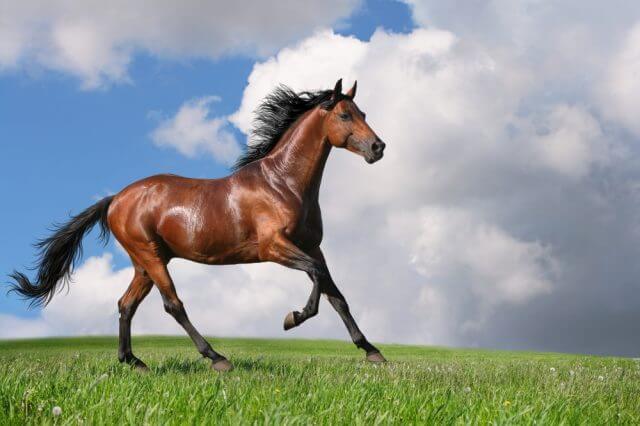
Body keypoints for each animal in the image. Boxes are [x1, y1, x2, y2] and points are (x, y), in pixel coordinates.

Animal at [9, 79, 387, 372]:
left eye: (364, 114)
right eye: (344, 114)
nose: (378, 147)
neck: (283, 184)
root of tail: (116, 199)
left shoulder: (313, 247)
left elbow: (336, 295)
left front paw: (372, 352)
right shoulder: (275, 247)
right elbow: (317, 279)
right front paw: (292, 317)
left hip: (144, 263)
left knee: (126, 304)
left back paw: (134, 362)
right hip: (151, 257)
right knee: (173, 304)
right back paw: (217, 358)